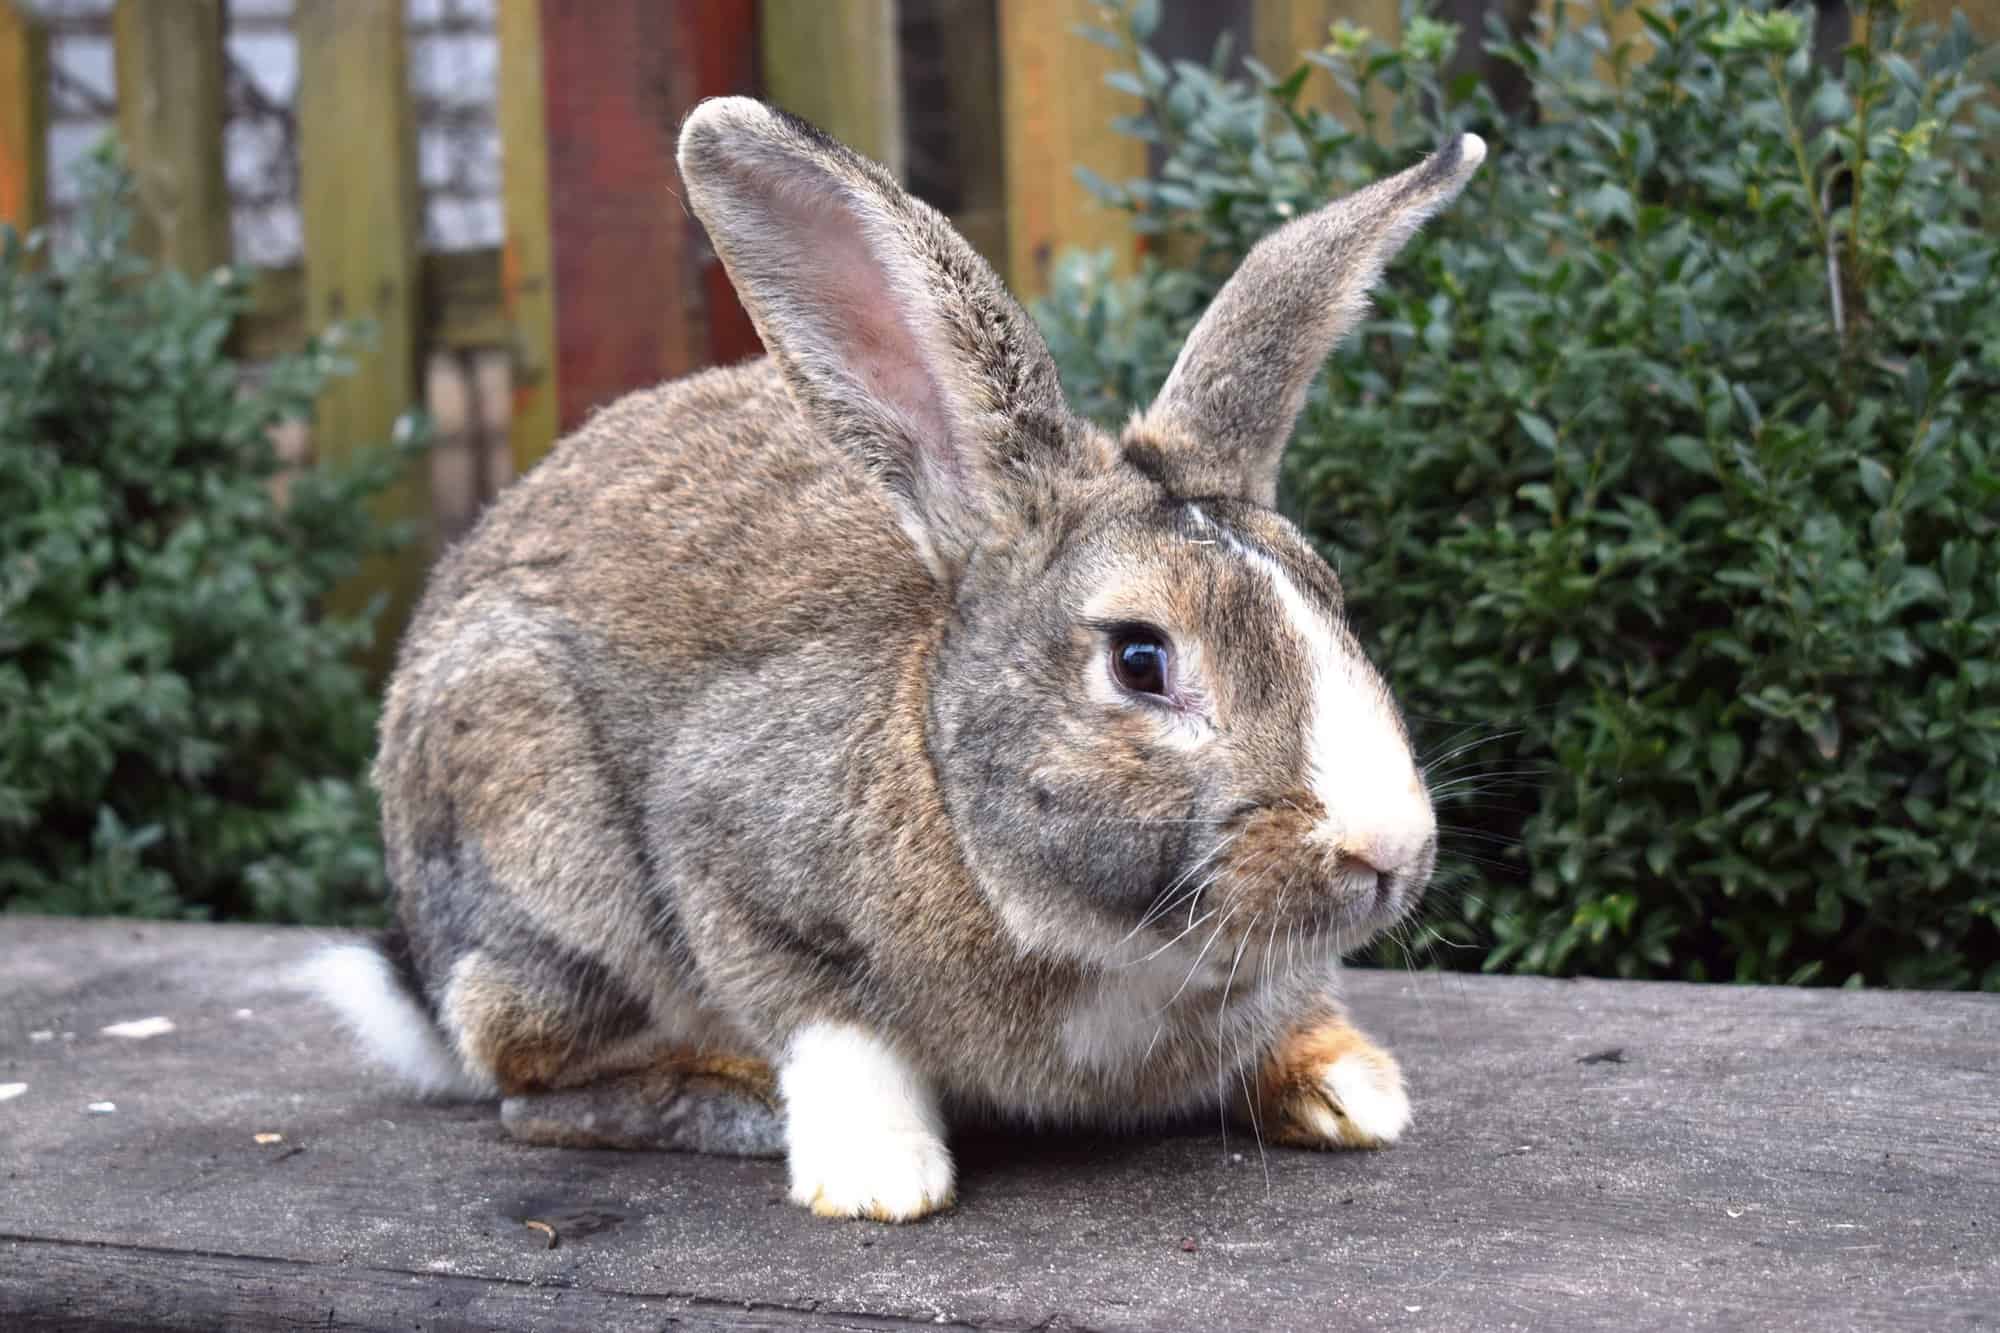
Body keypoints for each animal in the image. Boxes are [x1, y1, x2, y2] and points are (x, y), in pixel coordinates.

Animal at [301, 96, 1485, 1222]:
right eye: (1141, 660)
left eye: (1330, 598)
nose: (1387, 849)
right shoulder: (730, 863)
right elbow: (834, 1030)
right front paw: (880, 1177)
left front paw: (1349, 1089)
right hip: (546, 849)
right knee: (530, 1084)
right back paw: (728, 1096)